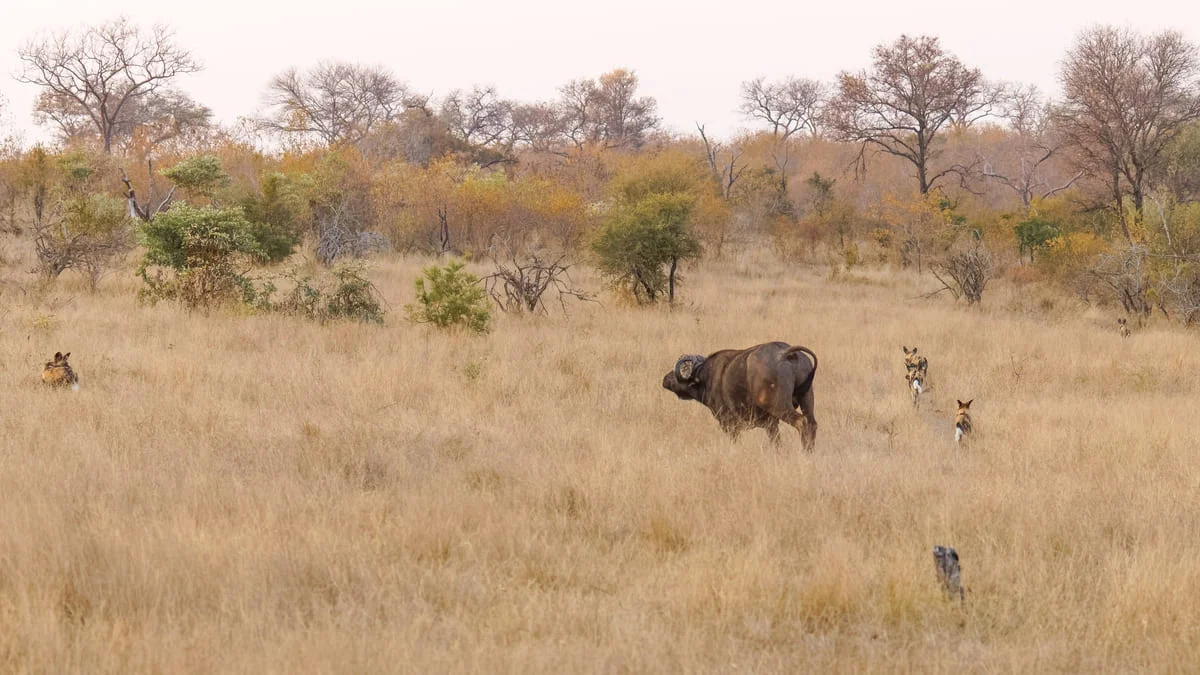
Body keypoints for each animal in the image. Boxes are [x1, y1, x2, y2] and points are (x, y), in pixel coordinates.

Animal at [662, 338, 820, 449]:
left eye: (682, 369)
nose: (665, 379)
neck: (707, 377)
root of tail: (785, 353)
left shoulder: (728, 425)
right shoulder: (771, 424)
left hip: (779, 406)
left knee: (801, 422)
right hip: (806, 399)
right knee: (812, 424)